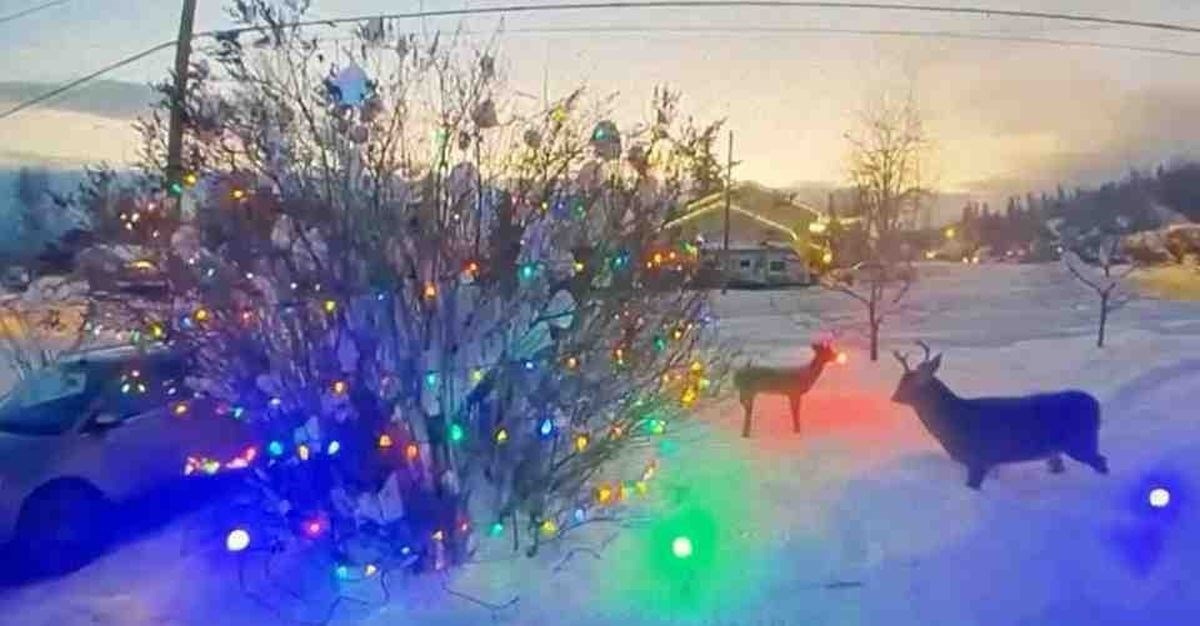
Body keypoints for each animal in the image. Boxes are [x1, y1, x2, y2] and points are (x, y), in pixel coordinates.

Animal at [892, 340, 1104, 486]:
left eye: (910, 383)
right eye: (901, 380)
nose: (894, 397)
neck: (956, 419)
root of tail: (1096, 404)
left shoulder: (978, 458)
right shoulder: (990, 462)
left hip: (1081, 441)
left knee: (1102, 463)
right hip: (1058, 450)